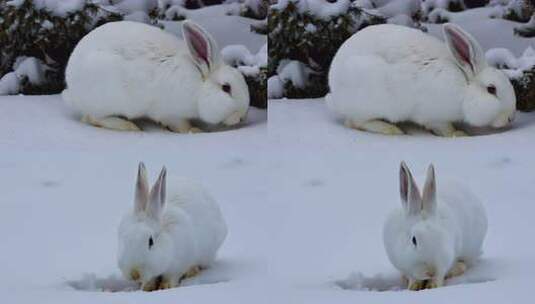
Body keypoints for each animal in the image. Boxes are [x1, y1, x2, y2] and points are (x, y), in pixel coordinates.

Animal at [61, 20, 250, 132]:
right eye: (226, 88)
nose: (241, 117)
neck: (198, 86)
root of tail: (72, 89)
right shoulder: (170, 112)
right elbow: (180, 124)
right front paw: (194, 131)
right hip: (107, 98)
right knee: (92, 117)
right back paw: (129, 127)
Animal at [328, 23, 516, 137]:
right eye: (491, 89)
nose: (510, 118)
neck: (464, 87)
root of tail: (333, 89)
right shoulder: (434, 116)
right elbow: (444, 128)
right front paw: (458, 134)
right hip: (371, 100)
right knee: (355, 122)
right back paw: (392, 130)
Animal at [384, 162, 488, 290]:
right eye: (414, 240)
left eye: (442, 238)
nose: (431, 271)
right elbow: (413, 277)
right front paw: (414, 287)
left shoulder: (445, 259)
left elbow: (439, 276)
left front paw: (432, 286)